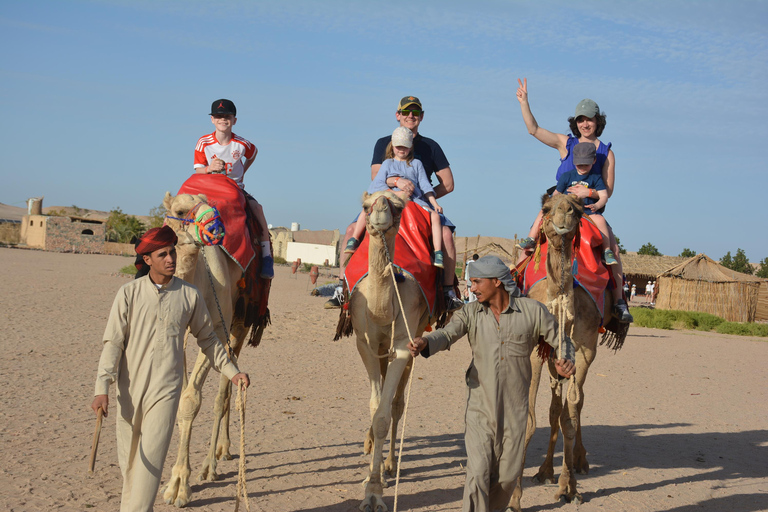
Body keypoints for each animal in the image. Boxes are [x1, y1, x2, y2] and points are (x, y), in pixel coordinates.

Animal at [159, 192, 268, 508]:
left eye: (210, 202)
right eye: (179, 210)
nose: (216, 227)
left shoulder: (214, 331)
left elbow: (191, 399)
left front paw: (179, 486)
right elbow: (180, 398)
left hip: (239, 322)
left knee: (224, 390)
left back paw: (212, 463)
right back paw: (222, 450)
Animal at [350, 191, 432, 512]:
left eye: (399, 206)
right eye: (365, 205)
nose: (381, 209)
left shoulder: (402, 346)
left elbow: (385, 415)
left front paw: (374, 492)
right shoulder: (365, 344)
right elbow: (375, 407)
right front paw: (369, 479)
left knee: (397, 404)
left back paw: (389, 464)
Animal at [510, 194, 612, 510]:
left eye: (578, 211)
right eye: (546, 208)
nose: (564, 213)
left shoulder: (585, 351)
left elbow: (571, 417)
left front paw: (570, 489)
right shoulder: (534, 352)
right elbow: (531, 420)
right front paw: (514, 497)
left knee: (574, 405)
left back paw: (578, 462)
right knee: (555, 408)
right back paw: (544, 471)